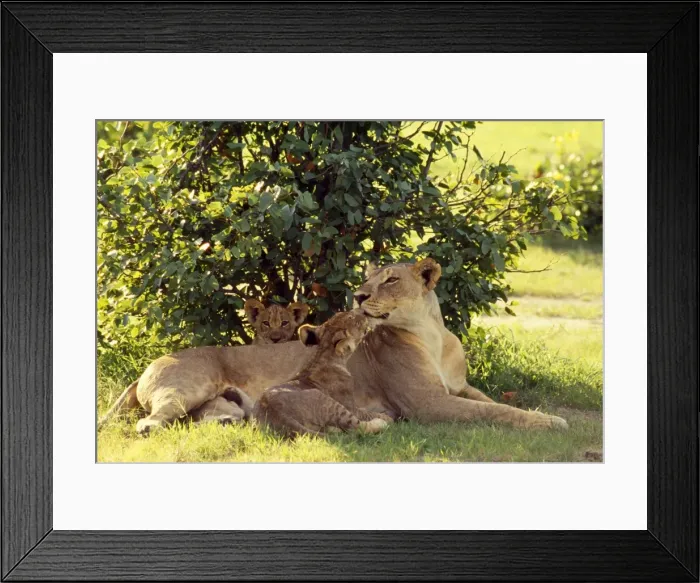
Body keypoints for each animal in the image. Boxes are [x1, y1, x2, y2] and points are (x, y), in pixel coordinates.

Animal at [253, 310, 391, 437]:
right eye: (353, 318)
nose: (364, 313)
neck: (322, 356)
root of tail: (275, 413)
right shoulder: (350, 406)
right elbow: (367, 413)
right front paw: (386, 417)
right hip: (326, 400)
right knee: (356, 428)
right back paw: (382, 423)